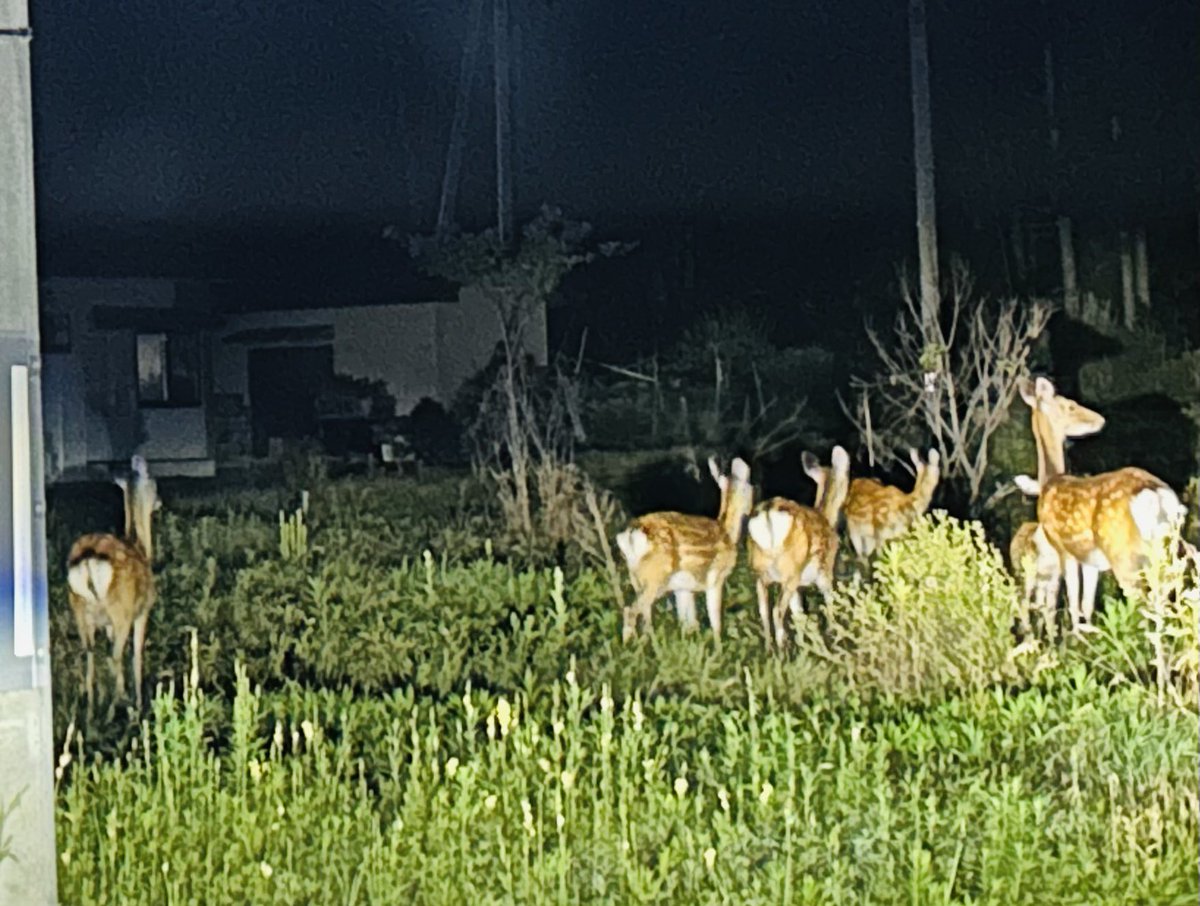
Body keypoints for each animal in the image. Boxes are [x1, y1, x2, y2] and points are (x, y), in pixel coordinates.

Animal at [66, 454, 161, 720]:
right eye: (154, 483)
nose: (159, 502)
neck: (142, 548)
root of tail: (88, 560)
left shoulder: (107, 624)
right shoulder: (142, 611)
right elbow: (137, 654)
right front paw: (139, 702)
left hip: (80, 611)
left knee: (89, 654)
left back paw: (91, 711)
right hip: (121, 612)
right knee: (114, 656)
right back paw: (122, 706)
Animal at [616, 457, 753, 643]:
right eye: (750, 488)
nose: (752, 509)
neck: (728, 532)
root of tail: (631, 534)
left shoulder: (683, 588)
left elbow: (688, 622)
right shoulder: (716, 578)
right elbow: (715, 622)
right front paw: (718, 646)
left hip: (636, 577)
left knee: (642, 614)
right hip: (654, 577)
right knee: (632, 611)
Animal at [746, 445, 850, 653]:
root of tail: (767, 512)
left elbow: (799, 613)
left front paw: (806, 645)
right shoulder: (825, 571)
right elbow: (829, 601)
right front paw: (834, 637)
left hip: (761, 572)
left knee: (764, 611)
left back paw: (770, 651)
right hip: (790, 570)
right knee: (777, 611)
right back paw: (783, 650)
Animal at [1014, 376, 1185, 634]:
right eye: (1070, 406)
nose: (1100, 420)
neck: (1048, 483)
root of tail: (1156, 494)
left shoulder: (1063, 548)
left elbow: (1074, 605)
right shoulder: (1087, 558)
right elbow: (1085, 606)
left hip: (1123, 554)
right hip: (1166, 549)